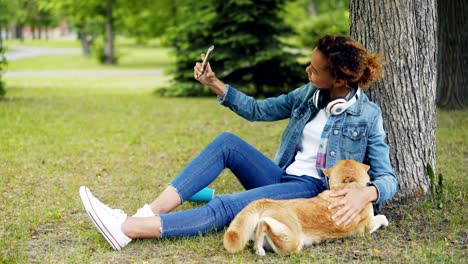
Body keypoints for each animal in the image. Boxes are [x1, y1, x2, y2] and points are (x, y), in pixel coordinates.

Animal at [223, 159, 388, 256]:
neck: (348, 183)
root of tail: (264, 201)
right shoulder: (365, 228)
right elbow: (381, 217)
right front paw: (385, 221)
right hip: (292, 242)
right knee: (264, 224)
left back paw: (258, 248)